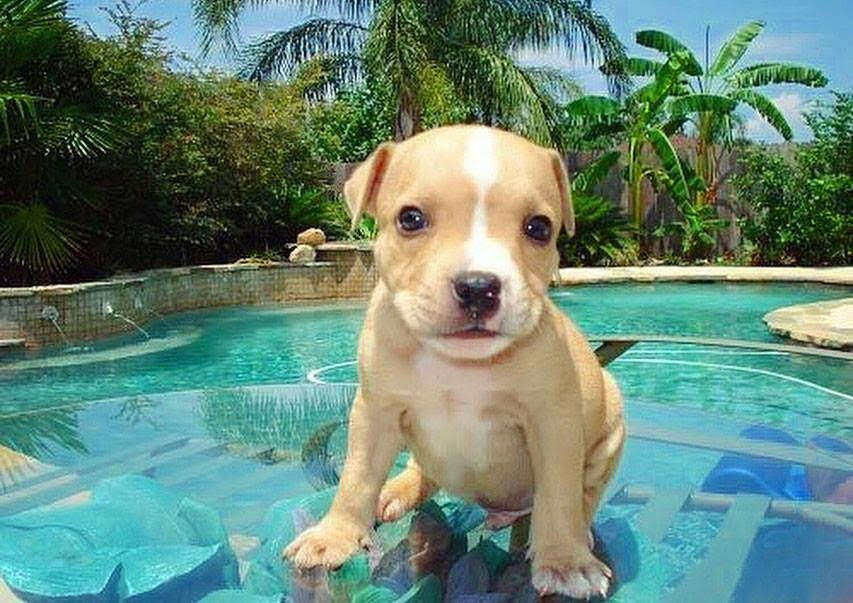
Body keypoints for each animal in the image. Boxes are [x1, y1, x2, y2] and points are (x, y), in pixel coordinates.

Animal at [282, 125, 624, 600]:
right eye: (410, 219)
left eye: (539, 228)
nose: (478, 286)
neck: (458, 365)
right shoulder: (375, 413)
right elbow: (355, 479)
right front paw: (333, 536)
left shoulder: (552, 423)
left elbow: (559, 495)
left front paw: (564, 560)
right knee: (419, 470)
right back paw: (397, 490)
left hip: (610, 424)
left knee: (582, 496)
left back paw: (576, 533)